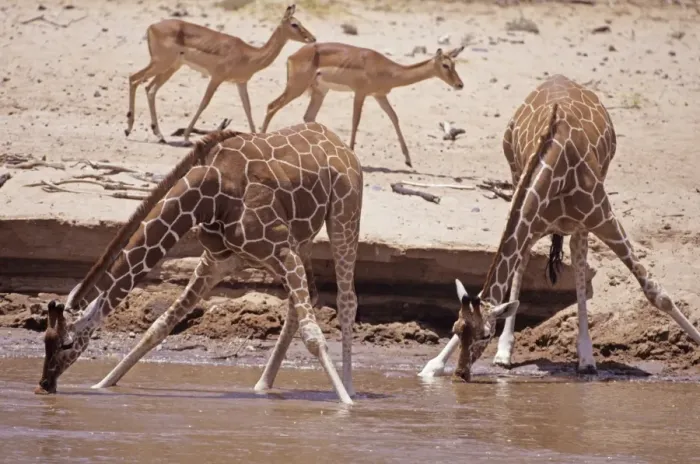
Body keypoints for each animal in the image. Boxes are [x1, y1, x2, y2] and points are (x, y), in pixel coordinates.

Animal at [35, 122, 363, 405]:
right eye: (45, 340)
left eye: (66, 343)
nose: (44, 385)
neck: (211, 194)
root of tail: (338, 142)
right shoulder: (219, 261)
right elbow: (159, 326)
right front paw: (102, 385)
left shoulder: (281, 250)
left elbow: (314, 335)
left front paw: (346, 406)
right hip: (301, 241)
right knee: (306, 300)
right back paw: (262, 385)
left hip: (344, 215)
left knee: (346, 301)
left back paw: (349, 388)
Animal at [419, 74, 700, 380]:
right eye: (456, 329)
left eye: (484, 335)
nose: (460, 374)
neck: (557, 168)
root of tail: (560, 78)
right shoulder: (530, 217)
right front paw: (434, 365)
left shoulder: (603, 216)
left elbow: (657, 293)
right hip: (517, 177)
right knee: (530, 260)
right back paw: (507, 353)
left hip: (584, 214)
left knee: (578, 256)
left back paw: (586, 358)